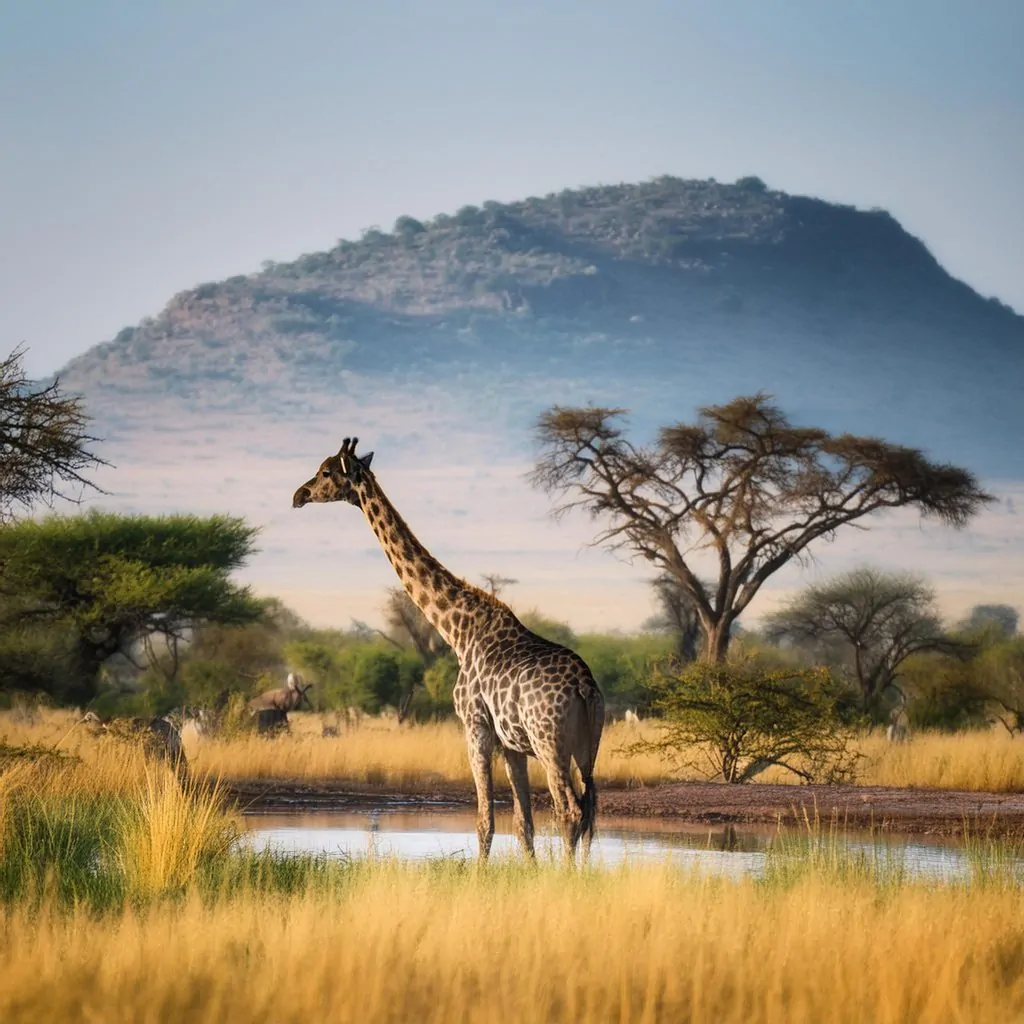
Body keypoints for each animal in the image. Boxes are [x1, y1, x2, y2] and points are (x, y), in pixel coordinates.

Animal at [292, 437, 605, 863]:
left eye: (325, 472)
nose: (299, 495)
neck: (459, 631)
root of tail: (585, 687)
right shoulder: (511, 743)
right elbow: (522, 824)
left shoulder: (474, 726)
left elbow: (485, 822)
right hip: (586, 746)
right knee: (589, 809)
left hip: (550, 743)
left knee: (569, 809)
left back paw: (568, 873)